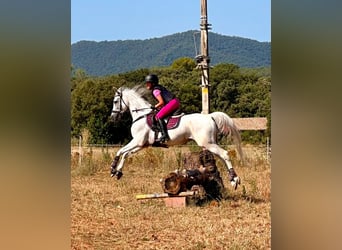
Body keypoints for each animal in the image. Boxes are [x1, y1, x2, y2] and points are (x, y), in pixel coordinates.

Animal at [109, 85, 243, 188]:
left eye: (115, 102)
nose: (112, 117)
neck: (141, 115)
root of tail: (209, 116)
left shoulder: (137, 141)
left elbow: (120, 151)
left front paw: (112, 168)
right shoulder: (142, 144)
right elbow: (125, 154)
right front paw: (118, 172)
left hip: (207, 143)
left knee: (224, 154)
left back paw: (235, 179)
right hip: (211, 143)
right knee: (221, 156)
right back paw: (233, 179)